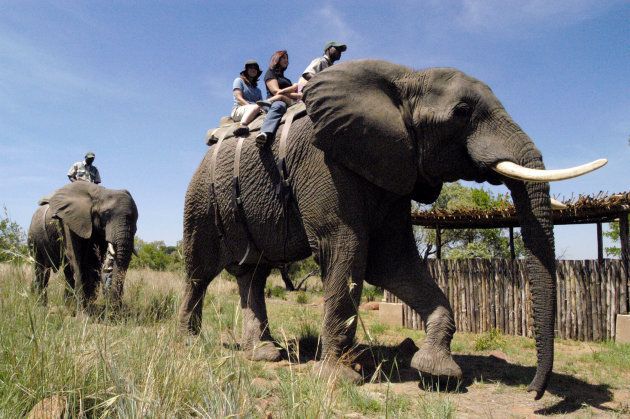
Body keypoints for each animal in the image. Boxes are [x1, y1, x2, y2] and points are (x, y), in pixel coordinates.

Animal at [28, 181, 138, 312]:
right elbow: (75, 258)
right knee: (42, 270)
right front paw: (82, 311)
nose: (114, 307)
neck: (100, 192)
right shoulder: (68, 222)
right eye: (105, 214)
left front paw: (88, 306)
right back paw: (42, 307)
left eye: (136, 218)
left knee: (66, 271)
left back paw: (67, 305)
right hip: (34, 237)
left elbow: (92, 262)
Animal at [179, 60, 608, 400]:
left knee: (252, 272)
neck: (404, 78)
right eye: (462, 111)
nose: (534, 394)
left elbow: (393, 261)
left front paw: (438, 373)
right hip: (201, 198)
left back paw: (264, 354)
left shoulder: (395, 166)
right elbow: (345, 248)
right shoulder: (323, 159)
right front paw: (339, 379)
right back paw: (190, 342)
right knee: (200, 272)